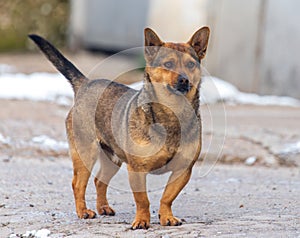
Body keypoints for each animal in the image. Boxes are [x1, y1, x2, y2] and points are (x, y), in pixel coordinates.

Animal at [29, 27, 210, 230]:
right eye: (168, 64)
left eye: (191, 65)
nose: (184, 80)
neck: (172, 113)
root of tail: (85, 83)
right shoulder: (136, 169)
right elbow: (142, 200)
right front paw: (142, 221)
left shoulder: (183, 170)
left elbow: (167, 196)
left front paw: (166, 217)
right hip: (86, 154)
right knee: (78, 184)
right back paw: (83, 211)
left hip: (112, 160)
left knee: (99, 181)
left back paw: (103, 208)